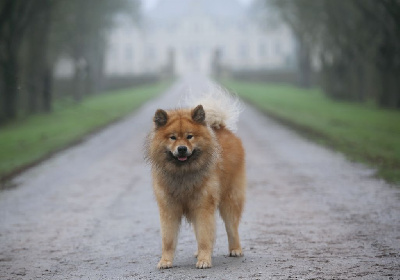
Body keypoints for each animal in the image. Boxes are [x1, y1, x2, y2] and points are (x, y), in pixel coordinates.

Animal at [146, 89, 245, 270]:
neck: (183, 173)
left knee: (232, 228)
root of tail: (220, 127)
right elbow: (168, 239)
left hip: (230, 200)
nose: (182, 149)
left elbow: (205, 236)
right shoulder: (169, 208)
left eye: (189, 136)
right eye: (172, 137)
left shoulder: (203, 206)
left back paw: (235, 249)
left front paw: (204, 260)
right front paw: (165, 261)